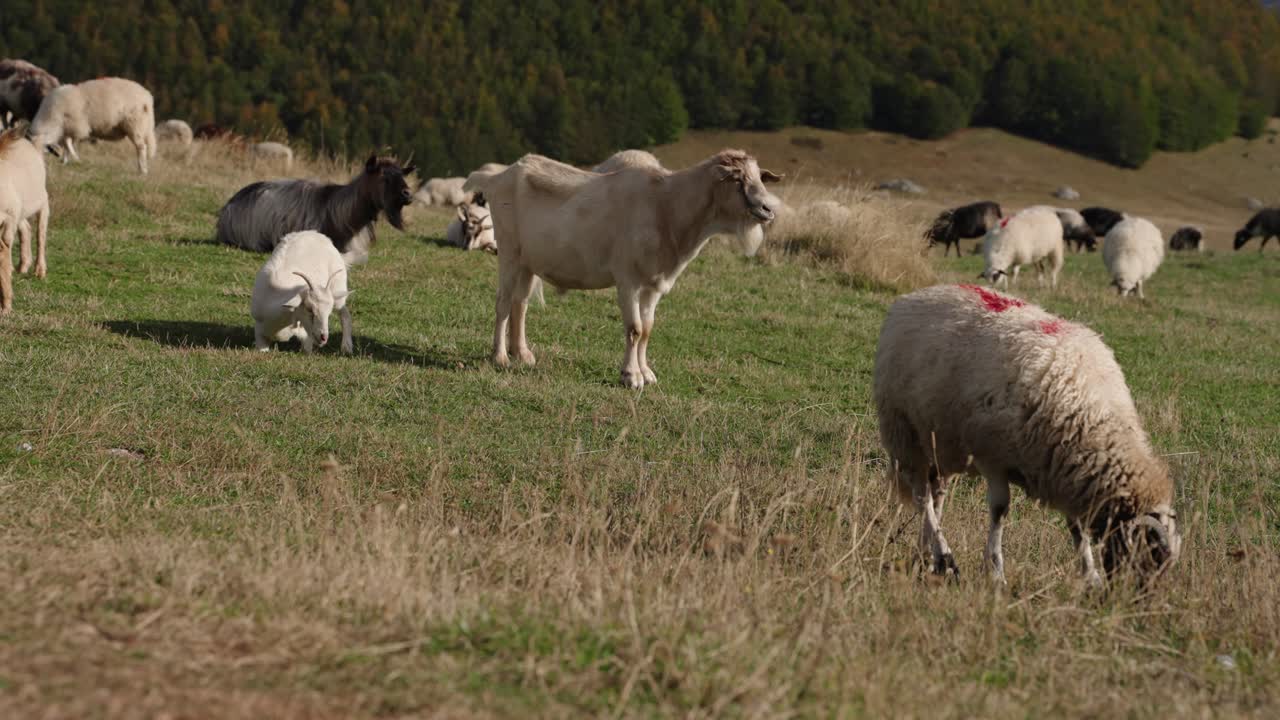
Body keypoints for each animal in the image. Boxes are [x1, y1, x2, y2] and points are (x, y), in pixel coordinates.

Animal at [0, 129, 50, 314]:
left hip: (42, 200)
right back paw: (23, 266)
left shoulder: (9, 219)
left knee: (41, 233)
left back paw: (39, 270)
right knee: (26, 229)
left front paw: (6, 306)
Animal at [27, 77, 157, 174]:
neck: (51, 119)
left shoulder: (76, 126)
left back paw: (142, 170)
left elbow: (68, 144)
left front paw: (74, 158)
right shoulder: (66, 129)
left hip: (135, 124)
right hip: (142, 126)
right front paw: (64, 161)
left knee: (141, 147)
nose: (37, 164)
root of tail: (147, 97)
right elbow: (66, 143)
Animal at [464, 149, 781, 388]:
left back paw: (523, 354)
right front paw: (631, 376)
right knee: (503, 302)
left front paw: (647, 373)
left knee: (520, 303)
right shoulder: (628, 279)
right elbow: (634, 328)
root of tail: (498, 177)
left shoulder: (654, 284)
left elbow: (648, 329)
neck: (667, 207)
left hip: (529, 261)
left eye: (759, 177)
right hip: (509, 251)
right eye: (737, 179)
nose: (768, 209)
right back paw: (500, 357)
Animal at [873, 284, 1181, 586]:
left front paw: (1090, 575)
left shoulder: (1066, 470)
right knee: (921, 495)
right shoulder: (992, 457)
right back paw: (944, 557)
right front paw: (996, 572)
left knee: (936, 494)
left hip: (940, 440)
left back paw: (927, 555)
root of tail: (917, 294)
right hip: (904, 432)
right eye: (1151, 553)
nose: (1135, 598)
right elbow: (999, 510)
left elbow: (1076, 526)